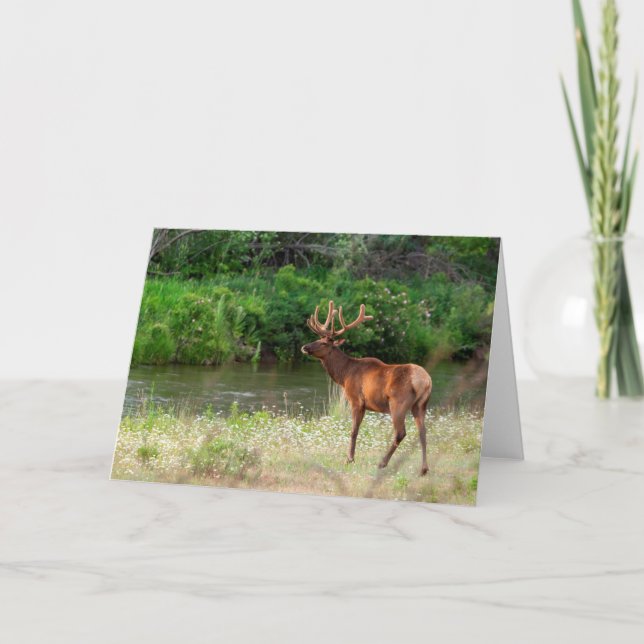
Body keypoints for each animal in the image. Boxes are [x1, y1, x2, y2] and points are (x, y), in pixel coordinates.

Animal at [301, 300, 432, 475]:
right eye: (317, 338)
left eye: (323, 343)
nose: (304, 347)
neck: (344, 375)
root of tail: (424, 381)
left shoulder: (356, 400)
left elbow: (353, 431)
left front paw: (349, 459)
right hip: (421, 405)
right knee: (423, 432)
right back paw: (423, 469)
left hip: (398, 403)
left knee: (400, 432)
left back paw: (382, 463)